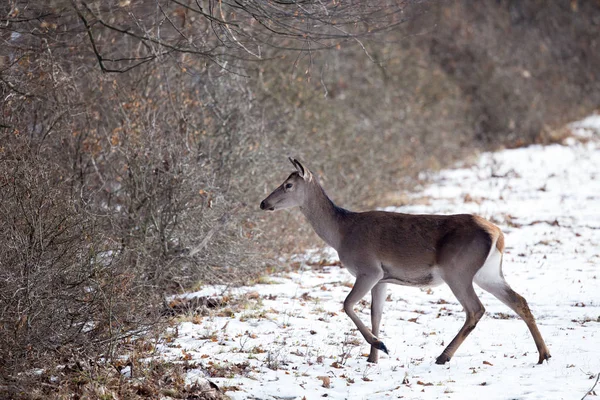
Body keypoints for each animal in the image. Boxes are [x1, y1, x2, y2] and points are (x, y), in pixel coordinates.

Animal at [260, 158, 552, 364]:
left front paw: (379, 345)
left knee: (475, 309)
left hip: (458, 270)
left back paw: (443, 356)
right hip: (488, 272)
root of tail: (498, 234)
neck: (342, 233)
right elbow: (376, 313)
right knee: (519, 301)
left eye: (288, 185)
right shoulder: (382, 278)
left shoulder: (368, 269)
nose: (263, 203)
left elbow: (346, 304)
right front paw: (373, 357)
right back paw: (544, 354)